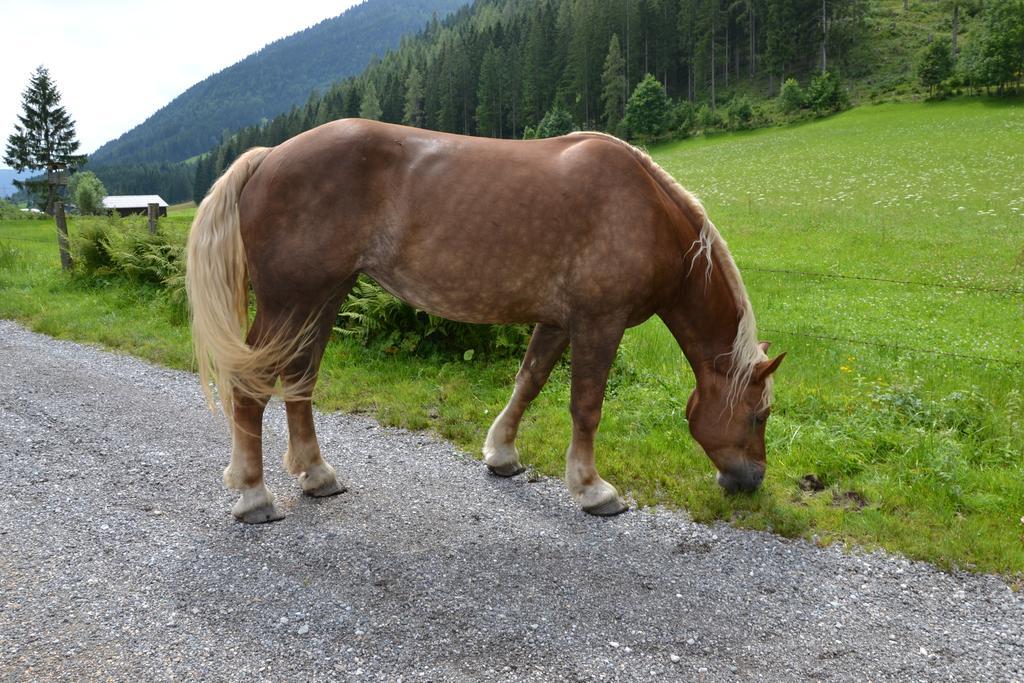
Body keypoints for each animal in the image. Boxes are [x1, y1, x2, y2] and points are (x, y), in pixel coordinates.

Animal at [186, 118, 782, 524]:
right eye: (758, 417)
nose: (750, 481)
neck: (646, 208)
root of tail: (268, 157)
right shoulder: (599, 321)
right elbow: (586, 406)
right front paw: (592, 489)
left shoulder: (558, 321)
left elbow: (529, 381)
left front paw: (502, 454)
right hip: (290, 303)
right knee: (250, 388)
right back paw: (254, 495)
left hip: (320, 301)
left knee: (301, 381)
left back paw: (316, 474)